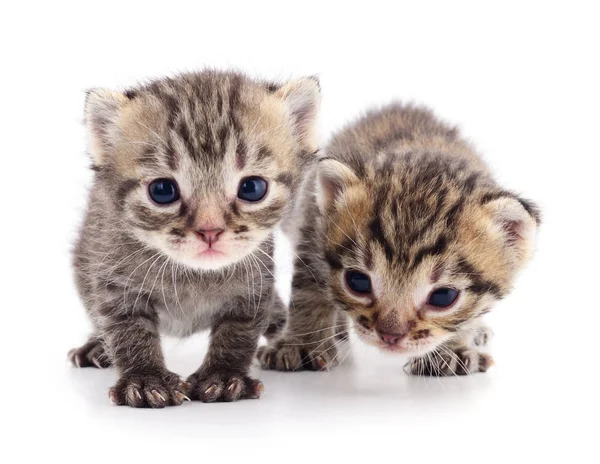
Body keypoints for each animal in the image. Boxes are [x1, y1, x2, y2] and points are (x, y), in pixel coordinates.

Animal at [68, 70, 322, 408]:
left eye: (252, 187)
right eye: (162, 190)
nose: (210, 230)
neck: (193, 274)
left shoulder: (254, 285)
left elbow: (239, 330)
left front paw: (224, 376)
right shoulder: (113, 282)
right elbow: (128, 330)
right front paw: (145, 379)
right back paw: (97, 346)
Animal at [258, 103, 540, 376]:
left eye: (444, 296)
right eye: (357, 281)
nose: (390, 335)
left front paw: (452, 350)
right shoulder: (312, 231)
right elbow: (308, 292)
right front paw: (301, 345)